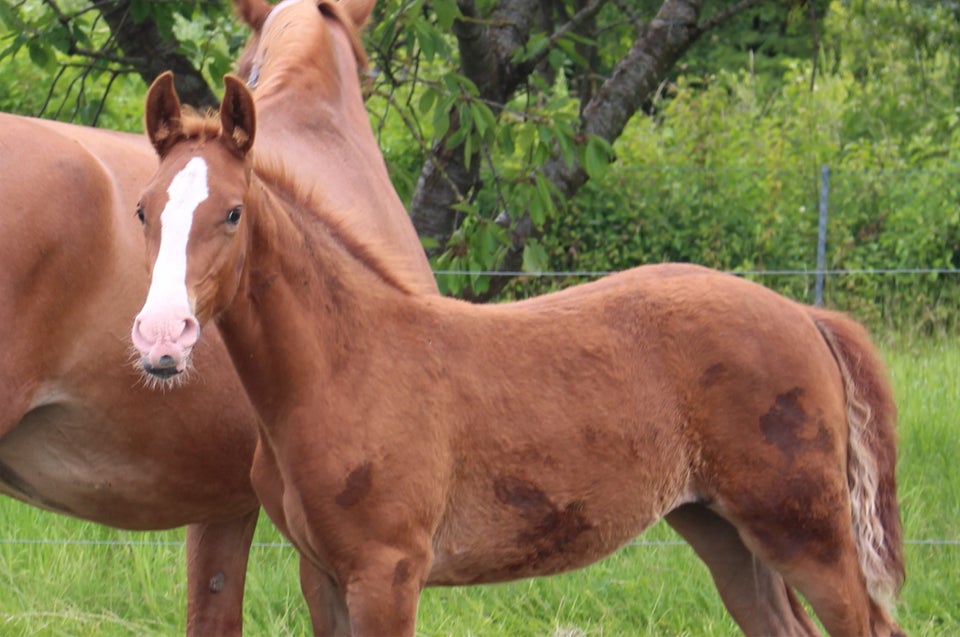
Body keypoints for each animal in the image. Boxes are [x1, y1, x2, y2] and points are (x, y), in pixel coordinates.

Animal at [131, 76, 904, 636]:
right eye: (143, 210)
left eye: (233, 213)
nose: (161, 338)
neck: (342, 368)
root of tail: (806, 316)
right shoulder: (321, 573)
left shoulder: (388, 571)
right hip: (724, 531)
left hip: (807, 531)